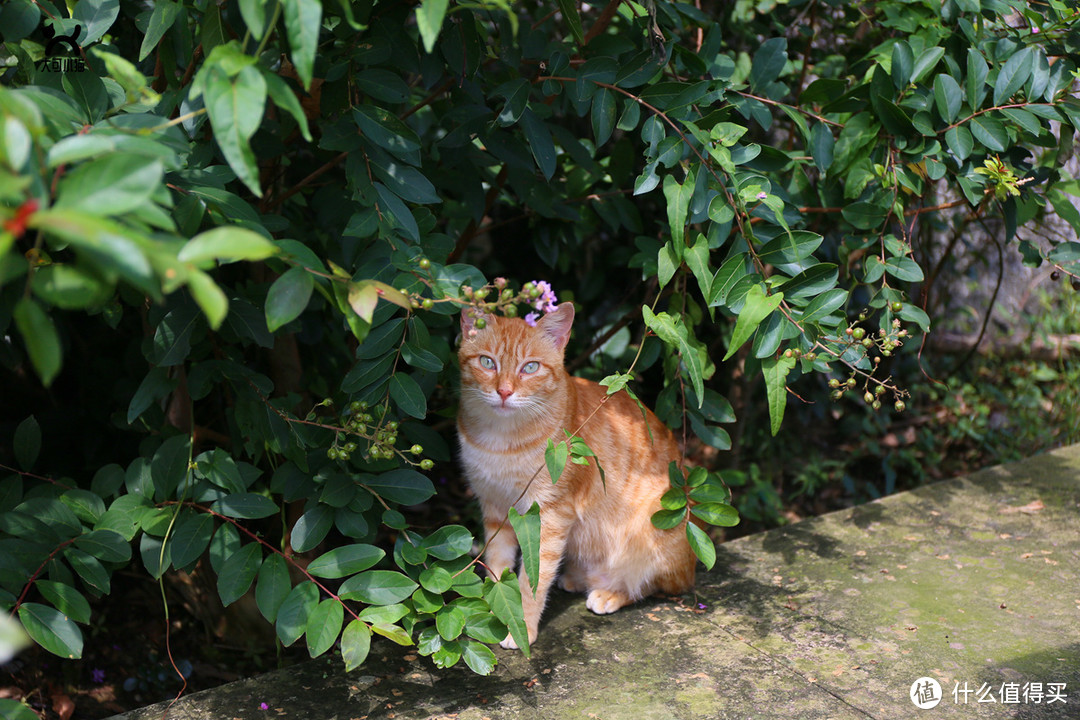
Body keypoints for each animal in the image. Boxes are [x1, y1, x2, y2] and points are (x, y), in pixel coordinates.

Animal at [453, 302, 691, 651]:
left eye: (530, 367)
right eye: (487, 362)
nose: (504, 392)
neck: (502, 439)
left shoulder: (547, 515)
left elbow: (533, 579)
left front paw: (522, 628)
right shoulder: (496, 508)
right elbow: (498, 567)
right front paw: (498, 613)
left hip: (653, 531)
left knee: (656, 585)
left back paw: (611, 592)